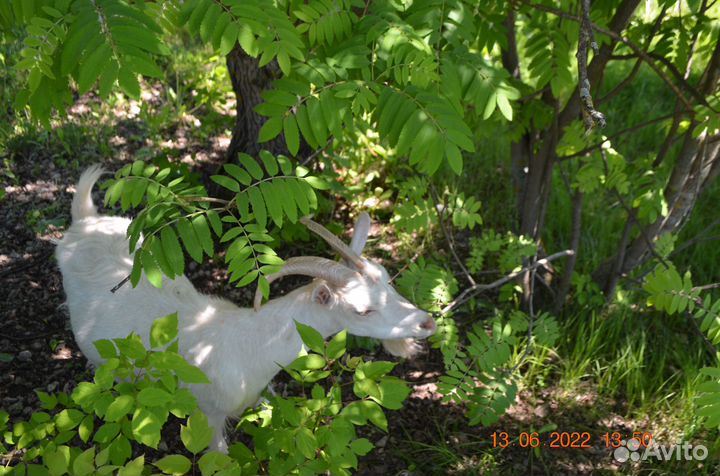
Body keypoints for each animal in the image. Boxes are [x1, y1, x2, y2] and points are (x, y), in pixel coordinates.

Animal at [55, 165, 436, 452]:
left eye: (386, 279)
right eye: (362, 310)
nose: (427, 323)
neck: (250, 342)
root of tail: (84, 221)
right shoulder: (209, 415)